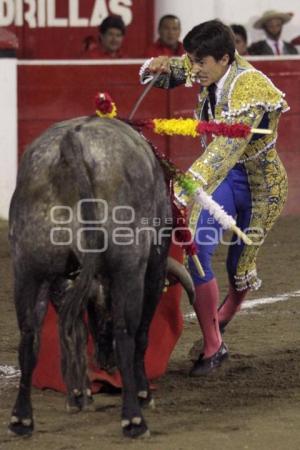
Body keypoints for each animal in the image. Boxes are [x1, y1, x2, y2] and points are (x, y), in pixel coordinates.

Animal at [8, 117, 195, 440]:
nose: (104, 362)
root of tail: (70, 144)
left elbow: (76, 332)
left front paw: (79, 395)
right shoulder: (153, 266)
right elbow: (140, 332)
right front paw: (143, 393)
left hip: (28, 268)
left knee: (29, 335)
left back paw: (22, 419)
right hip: (128, 267)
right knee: (127, 332)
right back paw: (133, 419)